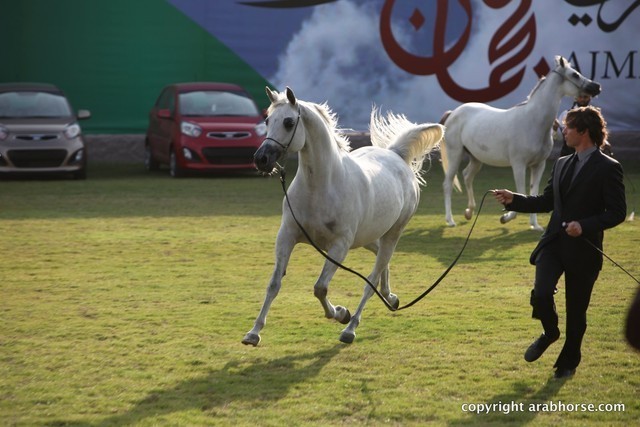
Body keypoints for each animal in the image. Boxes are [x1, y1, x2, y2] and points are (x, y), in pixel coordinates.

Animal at [243, 87, 444, 345]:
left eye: (288, 122)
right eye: (267, 120)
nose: (261, 159)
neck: (320, 188)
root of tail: (396, 156)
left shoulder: (339, 245)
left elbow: (320, 287)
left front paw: (340, 313)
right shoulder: (287, 235)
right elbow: (274, 284)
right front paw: (253, 333)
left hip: (391, 233)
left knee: (373, 276)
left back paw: (351, 327)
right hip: (367, 238)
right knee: (381, 263)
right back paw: (390, 298)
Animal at [440, 55, 602, 231]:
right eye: (575, 75)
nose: (597, 87)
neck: (533, 121)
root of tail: (452, 113)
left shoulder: (538, 165)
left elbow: (533, 192)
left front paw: (535, 225)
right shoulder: (519, 165)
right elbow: (520, 191)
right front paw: (505, 217)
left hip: (476, 158)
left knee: (467, 176)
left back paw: (469, 212)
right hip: (455, 155)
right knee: (448, 184)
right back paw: (450, 220)